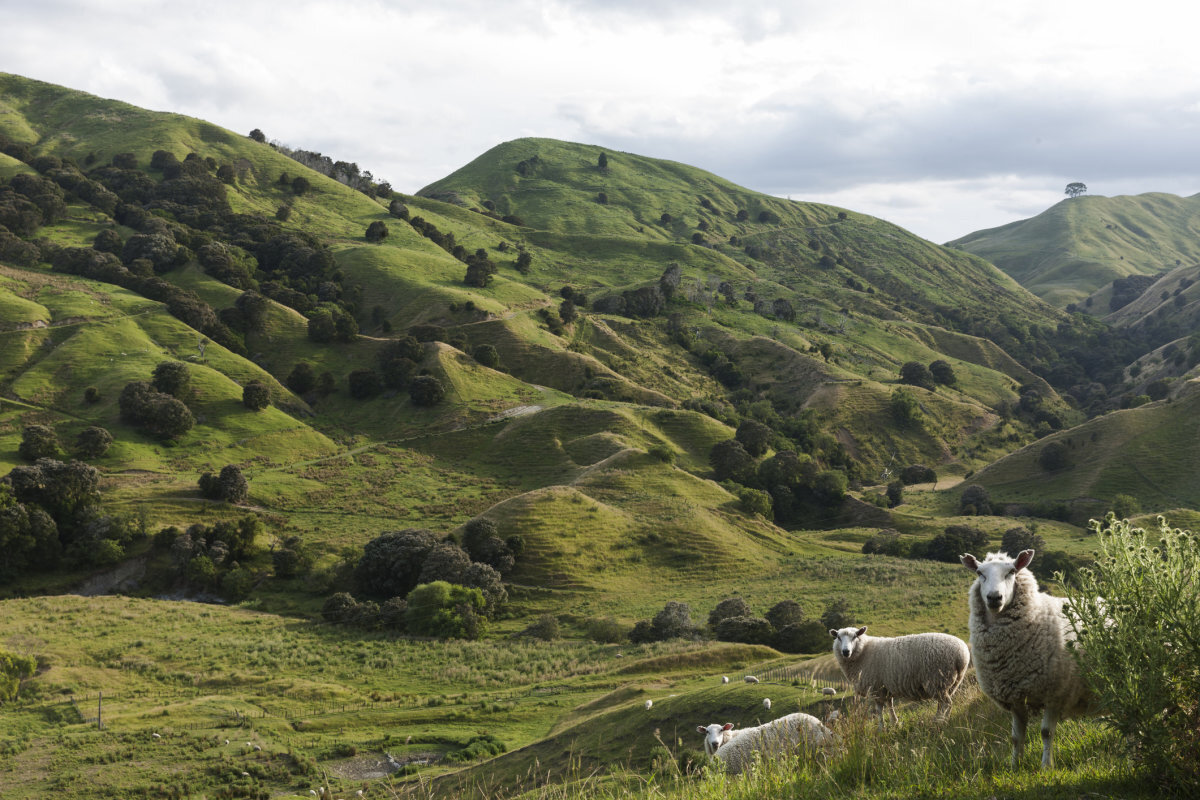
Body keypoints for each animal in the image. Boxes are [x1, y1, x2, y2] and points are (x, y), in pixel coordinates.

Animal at [830, 623, 969, 729]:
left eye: (855, 636)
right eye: (838, 637)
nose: (845, 652)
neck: (863, 651)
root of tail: (962, 654)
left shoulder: (876, 688)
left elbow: (879, 710)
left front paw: (881, 728)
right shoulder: (885, 688)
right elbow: (890, 706)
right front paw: (894, 722)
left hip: (937, 680)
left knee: (947, 703)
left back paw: (941, 721)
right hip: (949, 683)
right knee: (943, 704)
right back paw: (939, 719)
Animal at [964, 551, 1099, 767]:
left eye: (1011, 572)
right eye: (979, 573)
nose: (994, 597)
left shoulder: (1055, 692)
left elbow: (1046, 732)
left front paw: (1046, 766)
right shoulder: (1015, 697)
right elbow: (1016, 737)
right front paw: (1015, 766)